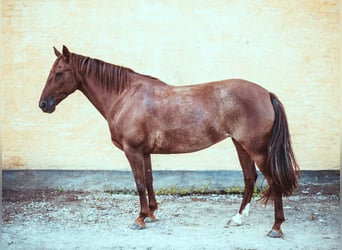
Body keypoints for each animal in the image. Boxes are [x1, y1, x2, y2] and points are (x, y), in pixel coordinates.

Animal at [38, 45, 298, 238]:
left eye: (58, 73)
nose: (43, 104)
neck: (125, 96)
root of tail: (266, 93)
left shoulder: (133, 151)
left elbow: (139, 183)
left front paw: (140, 219)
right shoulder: (145, 152)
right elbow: (149, 180)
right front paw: (152, 214)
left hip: (257, 149)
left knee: (273, 180)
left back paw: (276, 228)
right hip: (241, 145)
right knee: (249, 178)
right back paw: (238, 218)